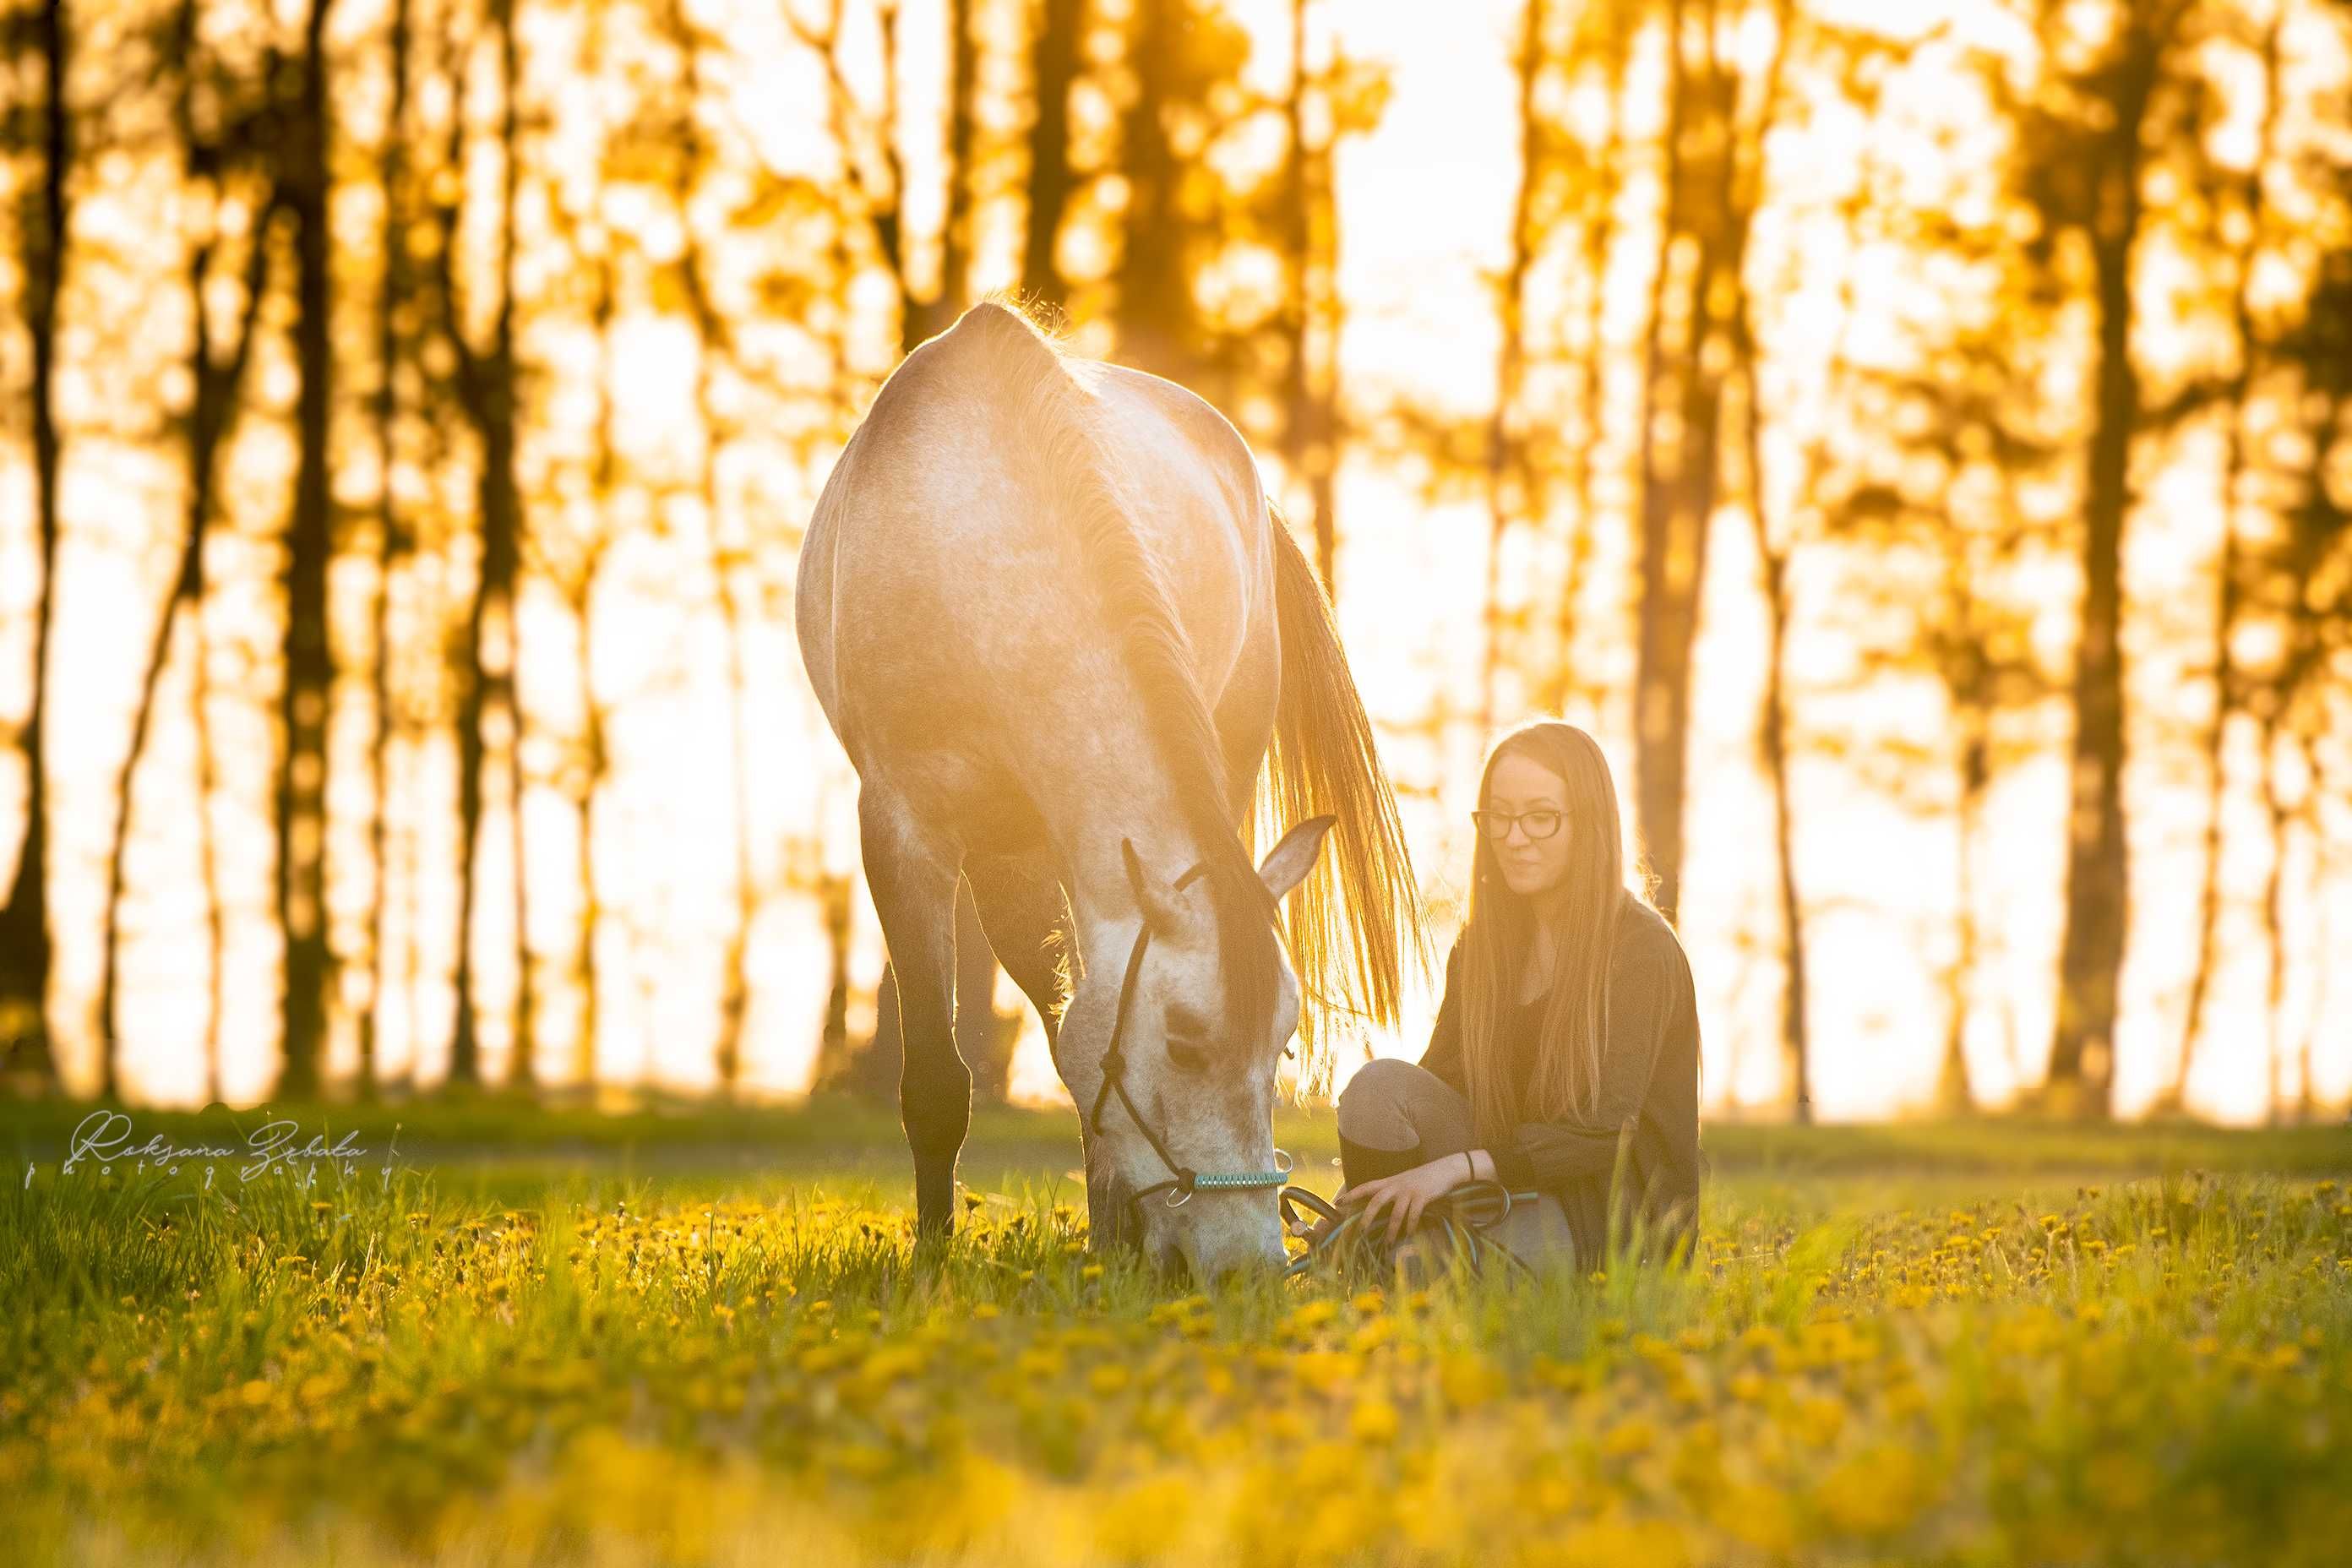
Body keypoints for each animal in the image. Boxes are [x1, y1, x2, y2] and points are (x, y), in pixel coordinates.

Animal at [790, 301, 1420, 1278]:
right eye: (1185, 1042)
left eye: (1283, 1044)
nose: (1250, 1267)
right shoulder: (902, 833)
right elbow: (937, 1080)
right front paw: (932, 1265)